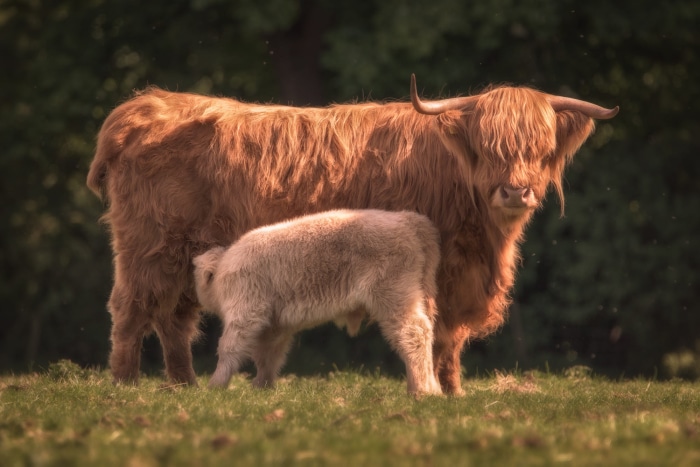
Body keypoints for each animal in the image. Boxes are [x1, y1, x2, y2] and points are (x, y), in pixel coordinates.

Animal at [192, 209, 442, 396]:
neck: (223, 268)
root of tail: (409, 220)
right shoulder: (274, 327)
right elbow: (267, 356)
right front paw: (262, 387)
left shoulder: (246, 312)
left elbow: (229, 347)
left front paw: (215, 386)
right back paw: (428, 389)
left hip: (395, 296)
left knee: (414, 333)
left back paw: (421, 390)